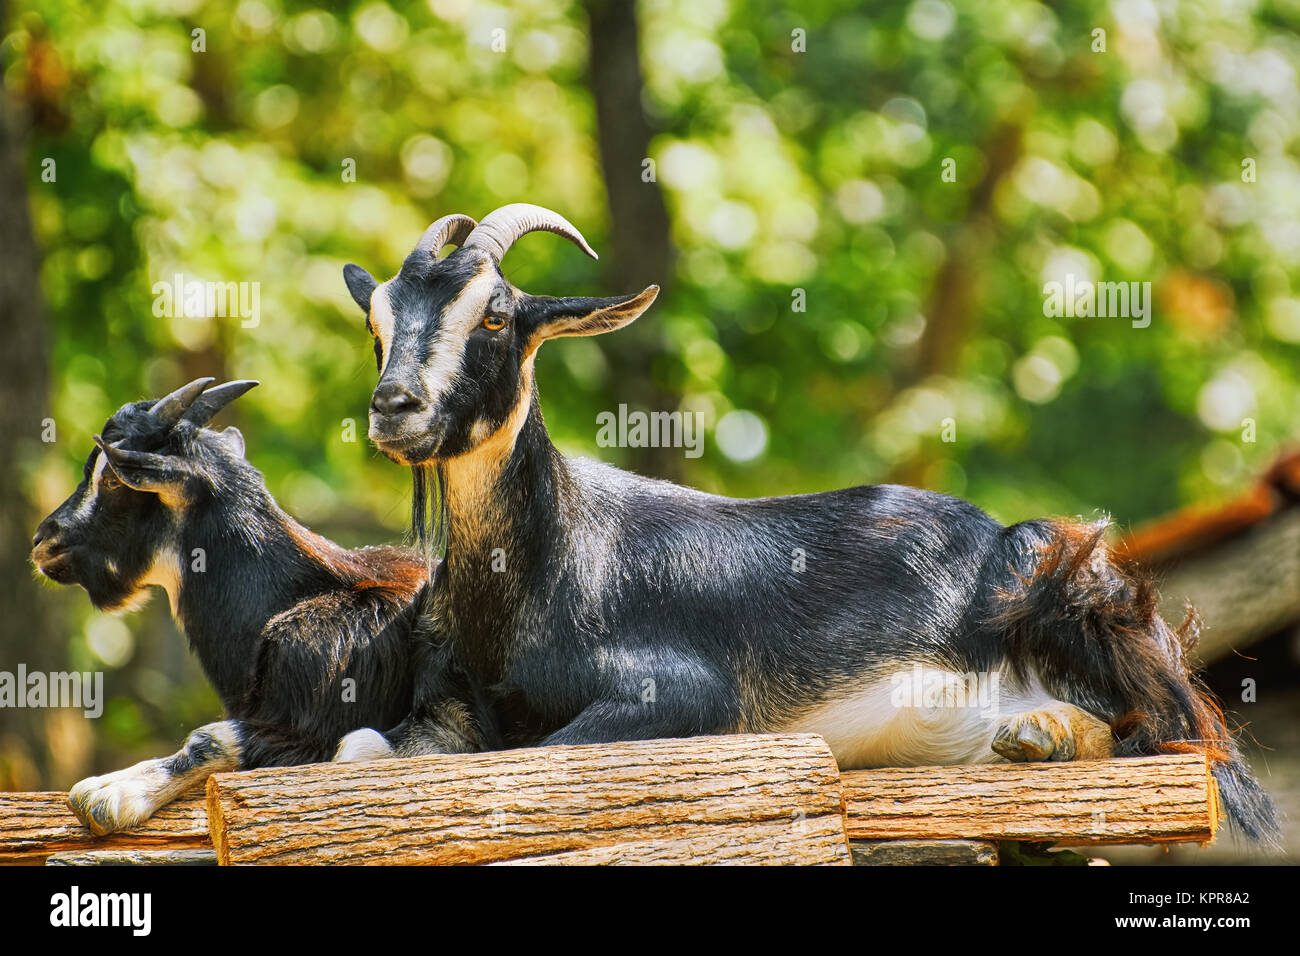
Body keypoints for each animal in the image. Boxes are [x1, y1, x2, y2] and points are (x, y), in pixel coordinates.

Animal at [338, 204, 1279, 842]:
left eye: (495, 314)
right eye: (375, 322)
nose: (394, 407)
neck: (548, 562)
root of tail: (993, 534)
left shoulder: (688, 695)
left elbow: (528, 753)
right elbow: (359, 748)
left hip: (1066, 583)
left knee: (1159, 731)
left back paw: (1040, 733)